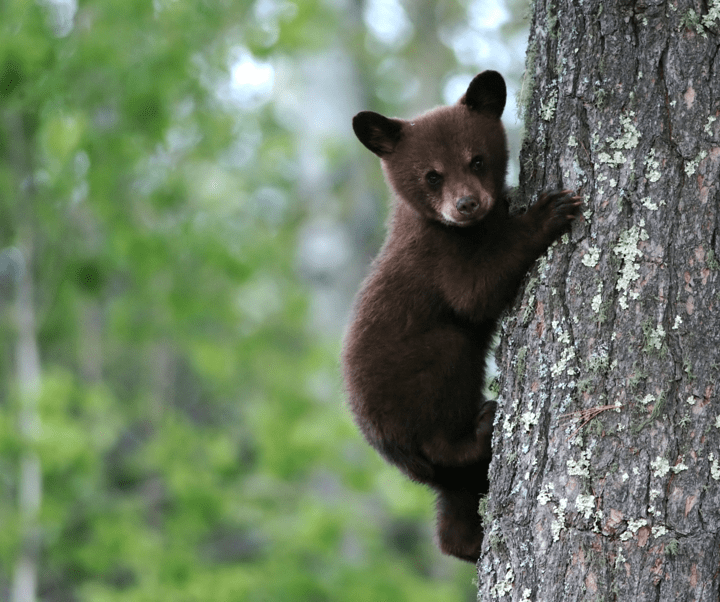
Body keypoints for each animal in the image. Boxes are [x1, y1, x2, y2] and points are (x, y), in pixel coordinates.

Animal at [341, 70, 581, 562]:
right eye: (432, 175)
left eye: (477, 160)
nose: (467, 204)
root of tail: (390, 450)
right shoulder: (438, 257)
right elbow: (475, 293)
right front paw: (547, 212)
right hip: (420, 380)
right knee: (445, 404)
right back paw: (482, 426)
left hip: (444, 480)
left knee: (454, 506)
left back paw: (467, 541)